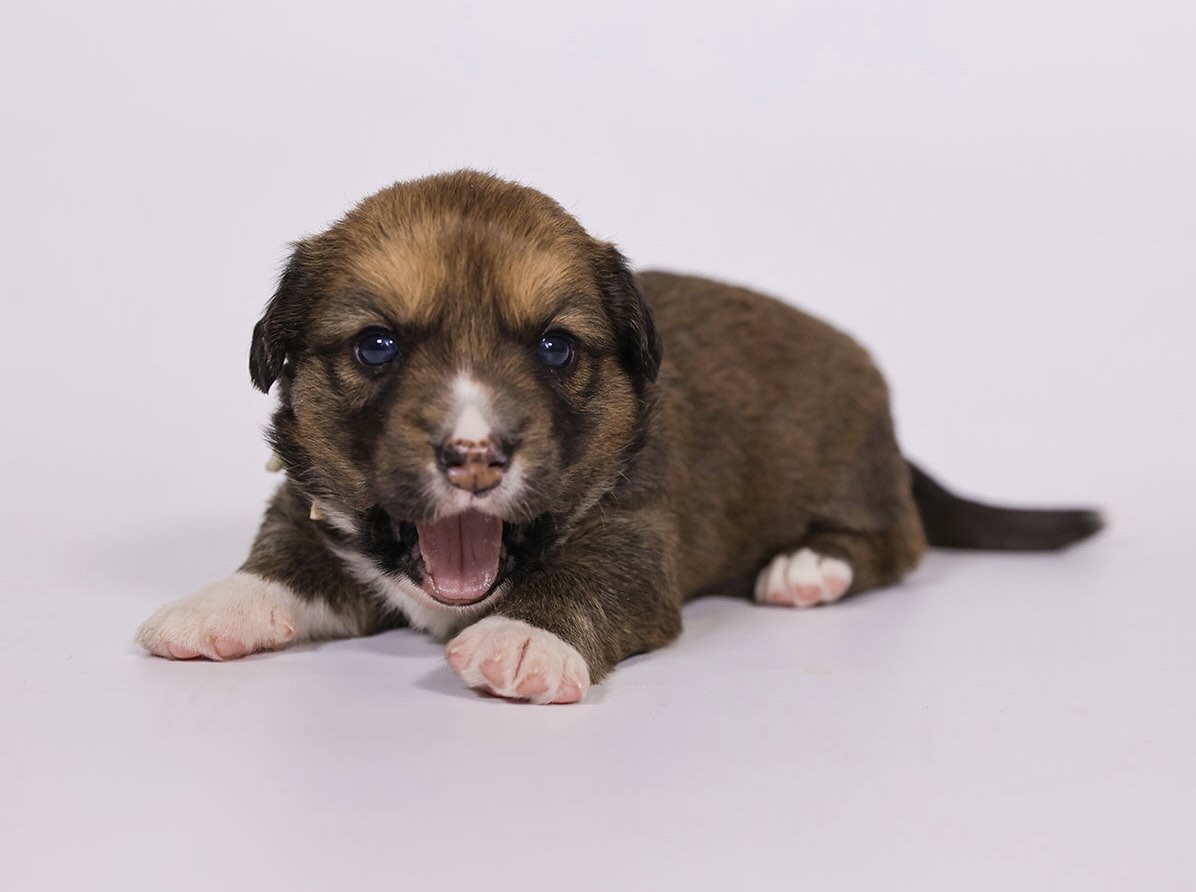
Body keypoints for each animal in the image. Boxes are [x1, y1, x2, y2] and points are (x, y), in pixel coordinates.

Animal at [136, 170, 1102, 703]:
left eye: (556, 347)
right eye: (377, 345)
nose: (475, 458)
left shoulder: (635, 536)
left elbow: (586, 578)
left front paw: (525, 640)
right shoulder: (316, 507)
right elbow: (289, 555)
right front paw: (216, 605)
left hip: (857, 474)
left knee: (897, 543)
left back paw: (805, 568)